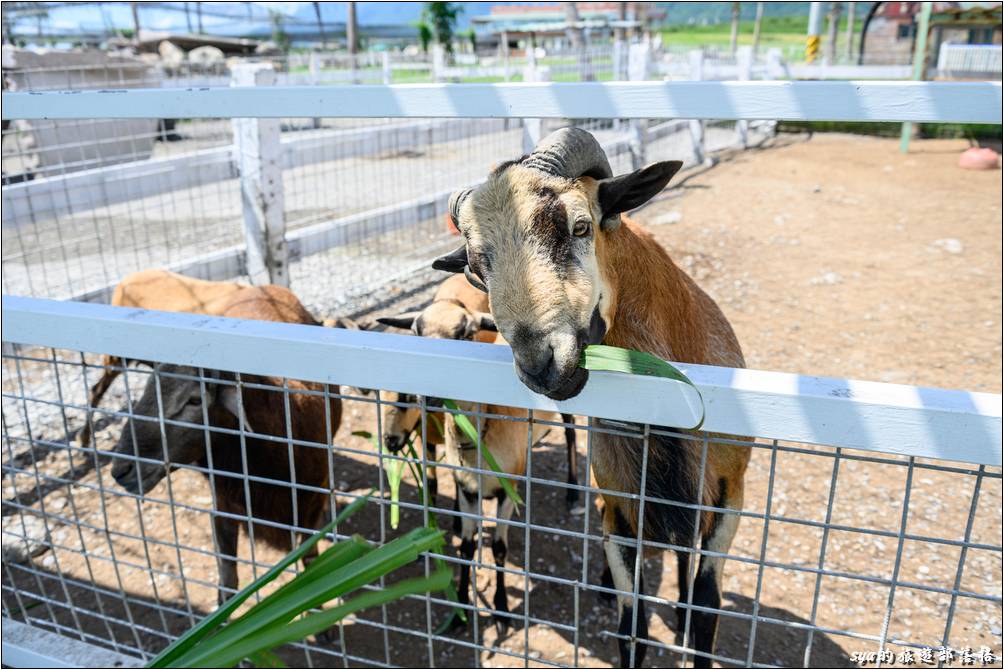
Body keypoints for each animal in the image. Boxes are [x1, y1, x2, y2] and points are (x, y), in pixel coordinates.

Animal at [108, 285, 339, 606]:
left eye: (195, 400)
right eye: (147, 391)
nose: (120, 470)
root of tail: (265, 287)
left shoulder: (304, 512)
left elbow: (310, 569)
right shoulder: (223, 508)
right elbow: (227, 582)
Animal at [435, 128, 750, 666]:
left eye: (580, 226)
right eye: (477, 268)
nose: (539, 364)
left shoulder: (731, 497)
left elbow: (706, 613)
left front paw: (690, 616)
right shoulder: (622, 509)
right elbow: (632, 626)